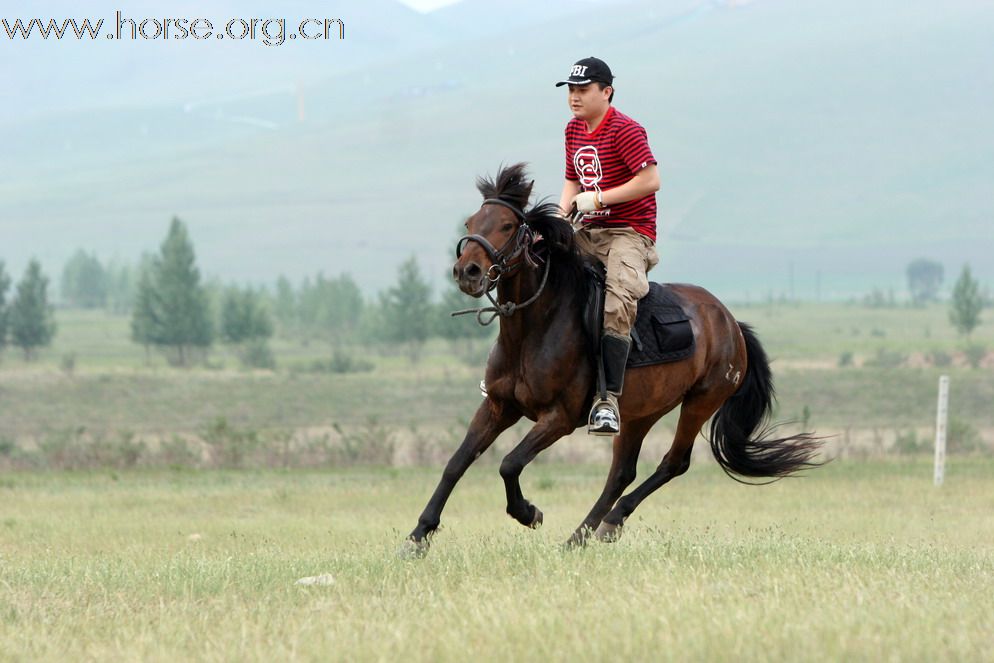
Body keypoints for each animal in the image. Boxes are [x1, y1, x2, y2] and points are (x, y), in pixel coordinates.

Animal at [404, 163, 812, 552]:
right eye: (471, 223)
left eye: (507, 225)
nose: (467, 272)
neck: (534, 328)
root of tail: (730, 322)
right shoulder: (498, 406)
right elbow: (457, 463)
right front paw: (419, 535)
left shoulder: (559, 418)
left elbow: (509, 463)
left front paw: (528, 513)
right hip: (642, 412)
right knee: (622, 473)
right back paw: (583, 535)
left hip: (700, 401)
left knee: (673, 462)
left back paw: (605, 525)